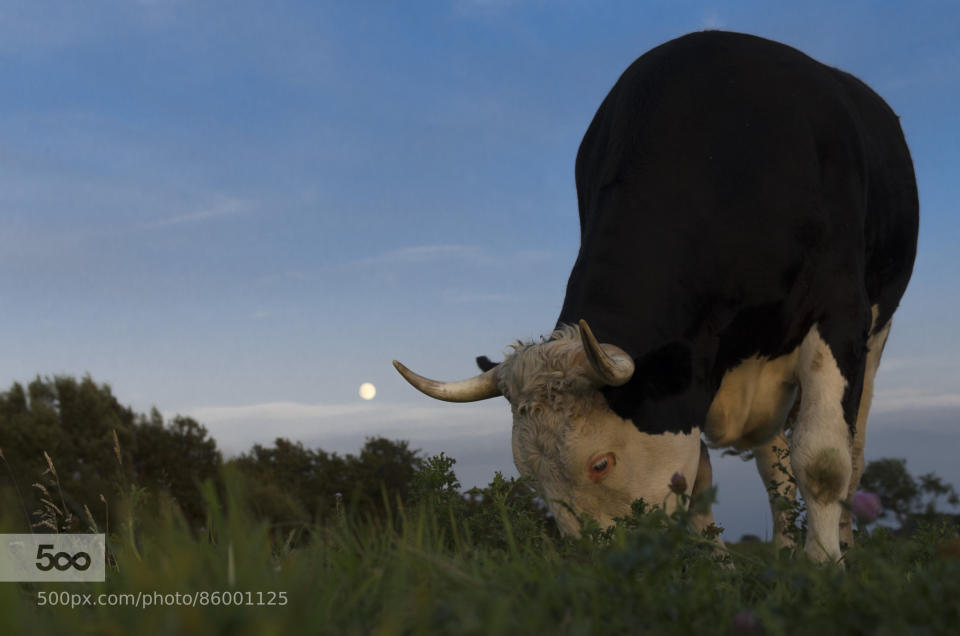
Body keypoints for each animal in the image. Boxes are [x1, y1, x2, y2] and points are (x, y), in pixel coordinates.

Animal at [394, 31, 920, 560]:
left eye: (601, 463)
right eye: (530, 477)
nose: (594, 566)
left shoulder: (838, 313)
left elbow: (824, 460)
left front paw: (824, 566)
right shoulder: (692, 372)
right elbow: (699, 477)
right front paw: (718, 567)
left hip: (875, 336)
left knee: (851, 452)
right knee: (774, 467)